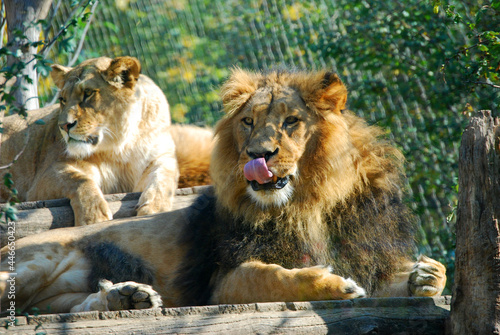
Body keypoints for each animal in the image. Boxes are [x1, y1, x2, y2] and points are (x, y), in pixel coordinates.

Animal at [0, 56, 184, 227]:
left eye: (88, 93)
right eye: (62, 100)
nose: (64, 126)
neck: (119, 148)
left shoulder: (161, 157)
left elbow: (164, 177)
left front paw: (154, 208)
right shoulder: (44, 177)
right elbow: (78, 179)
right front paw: (93, 216)